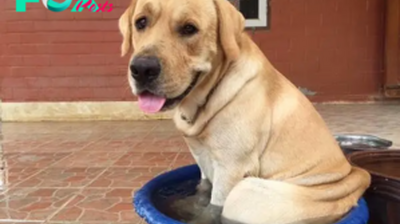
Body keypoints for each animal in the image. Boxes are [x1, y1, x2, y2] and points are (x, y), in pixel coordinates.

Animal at [119, 0, 372, 223]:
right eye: (141, 22)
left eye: (189, 28)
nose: (142, 69)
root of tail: (354, 181)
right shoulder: (203, 163)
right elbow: (202, 192)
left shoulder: (232, 169)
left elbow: (213, 209)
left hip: (244, 194)